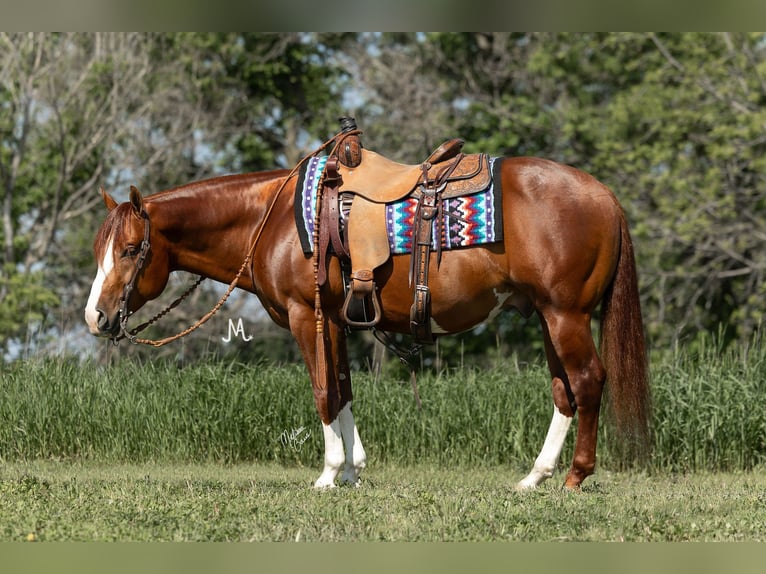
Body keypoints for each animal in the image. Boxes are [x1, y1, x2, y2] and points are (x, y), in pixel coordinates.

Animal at [84, 146, 652, 492]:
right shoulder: (336, 322)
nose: (96, 317)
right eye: (100, 250)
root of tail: (604, 195)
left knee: (587, 381)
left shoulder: (306, 316)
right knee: (564, 391)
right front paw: (354, 473)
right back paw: (535, 477)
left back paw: (576, 477)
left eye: (132, 250)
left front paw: (329, 473)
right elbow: (343, 389)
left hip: (566, 315)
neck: (274, 220)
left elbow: (322, 391)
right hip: (547, 317)